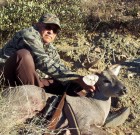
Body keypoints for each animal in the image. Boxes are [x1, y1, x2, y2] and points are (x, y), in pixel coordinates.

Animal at [0, 65, 130, 134]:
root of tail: (4, 94)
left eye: (116, 77)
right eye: (106, 80)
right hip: (22, 107)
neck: (97, 106)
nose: (125, 89)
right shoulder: (82, 122)